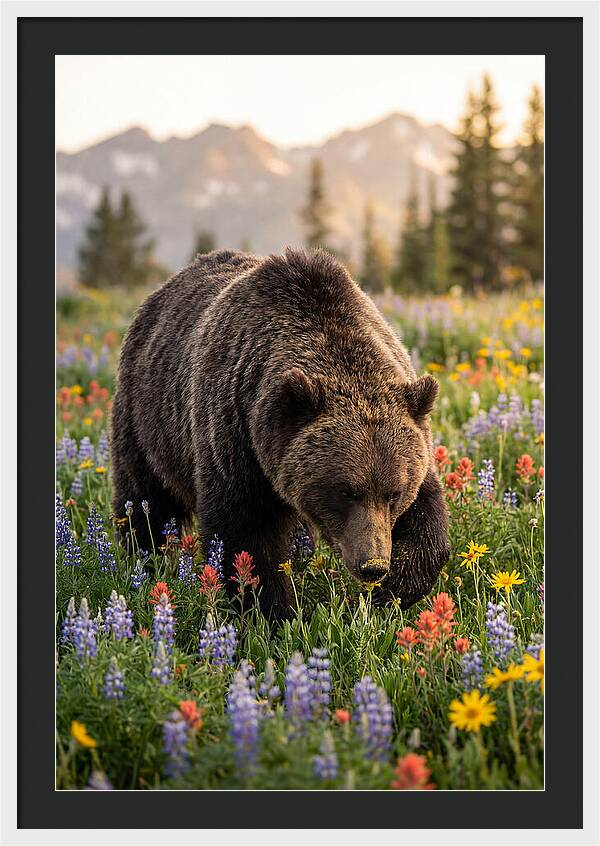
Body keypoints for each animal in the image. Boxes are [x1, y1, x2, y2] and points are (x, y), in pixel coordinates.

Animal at [110, 248, 449, 619]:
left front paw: (393, 590)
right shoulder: (235, 437)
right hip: (147, 420)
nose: (372, 565)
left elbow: (427, 518)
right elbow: (245, 536)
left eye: (394, 493)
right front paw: (273, 613)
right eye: (346, 491)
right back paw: (142, 561)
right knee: (145, 499)